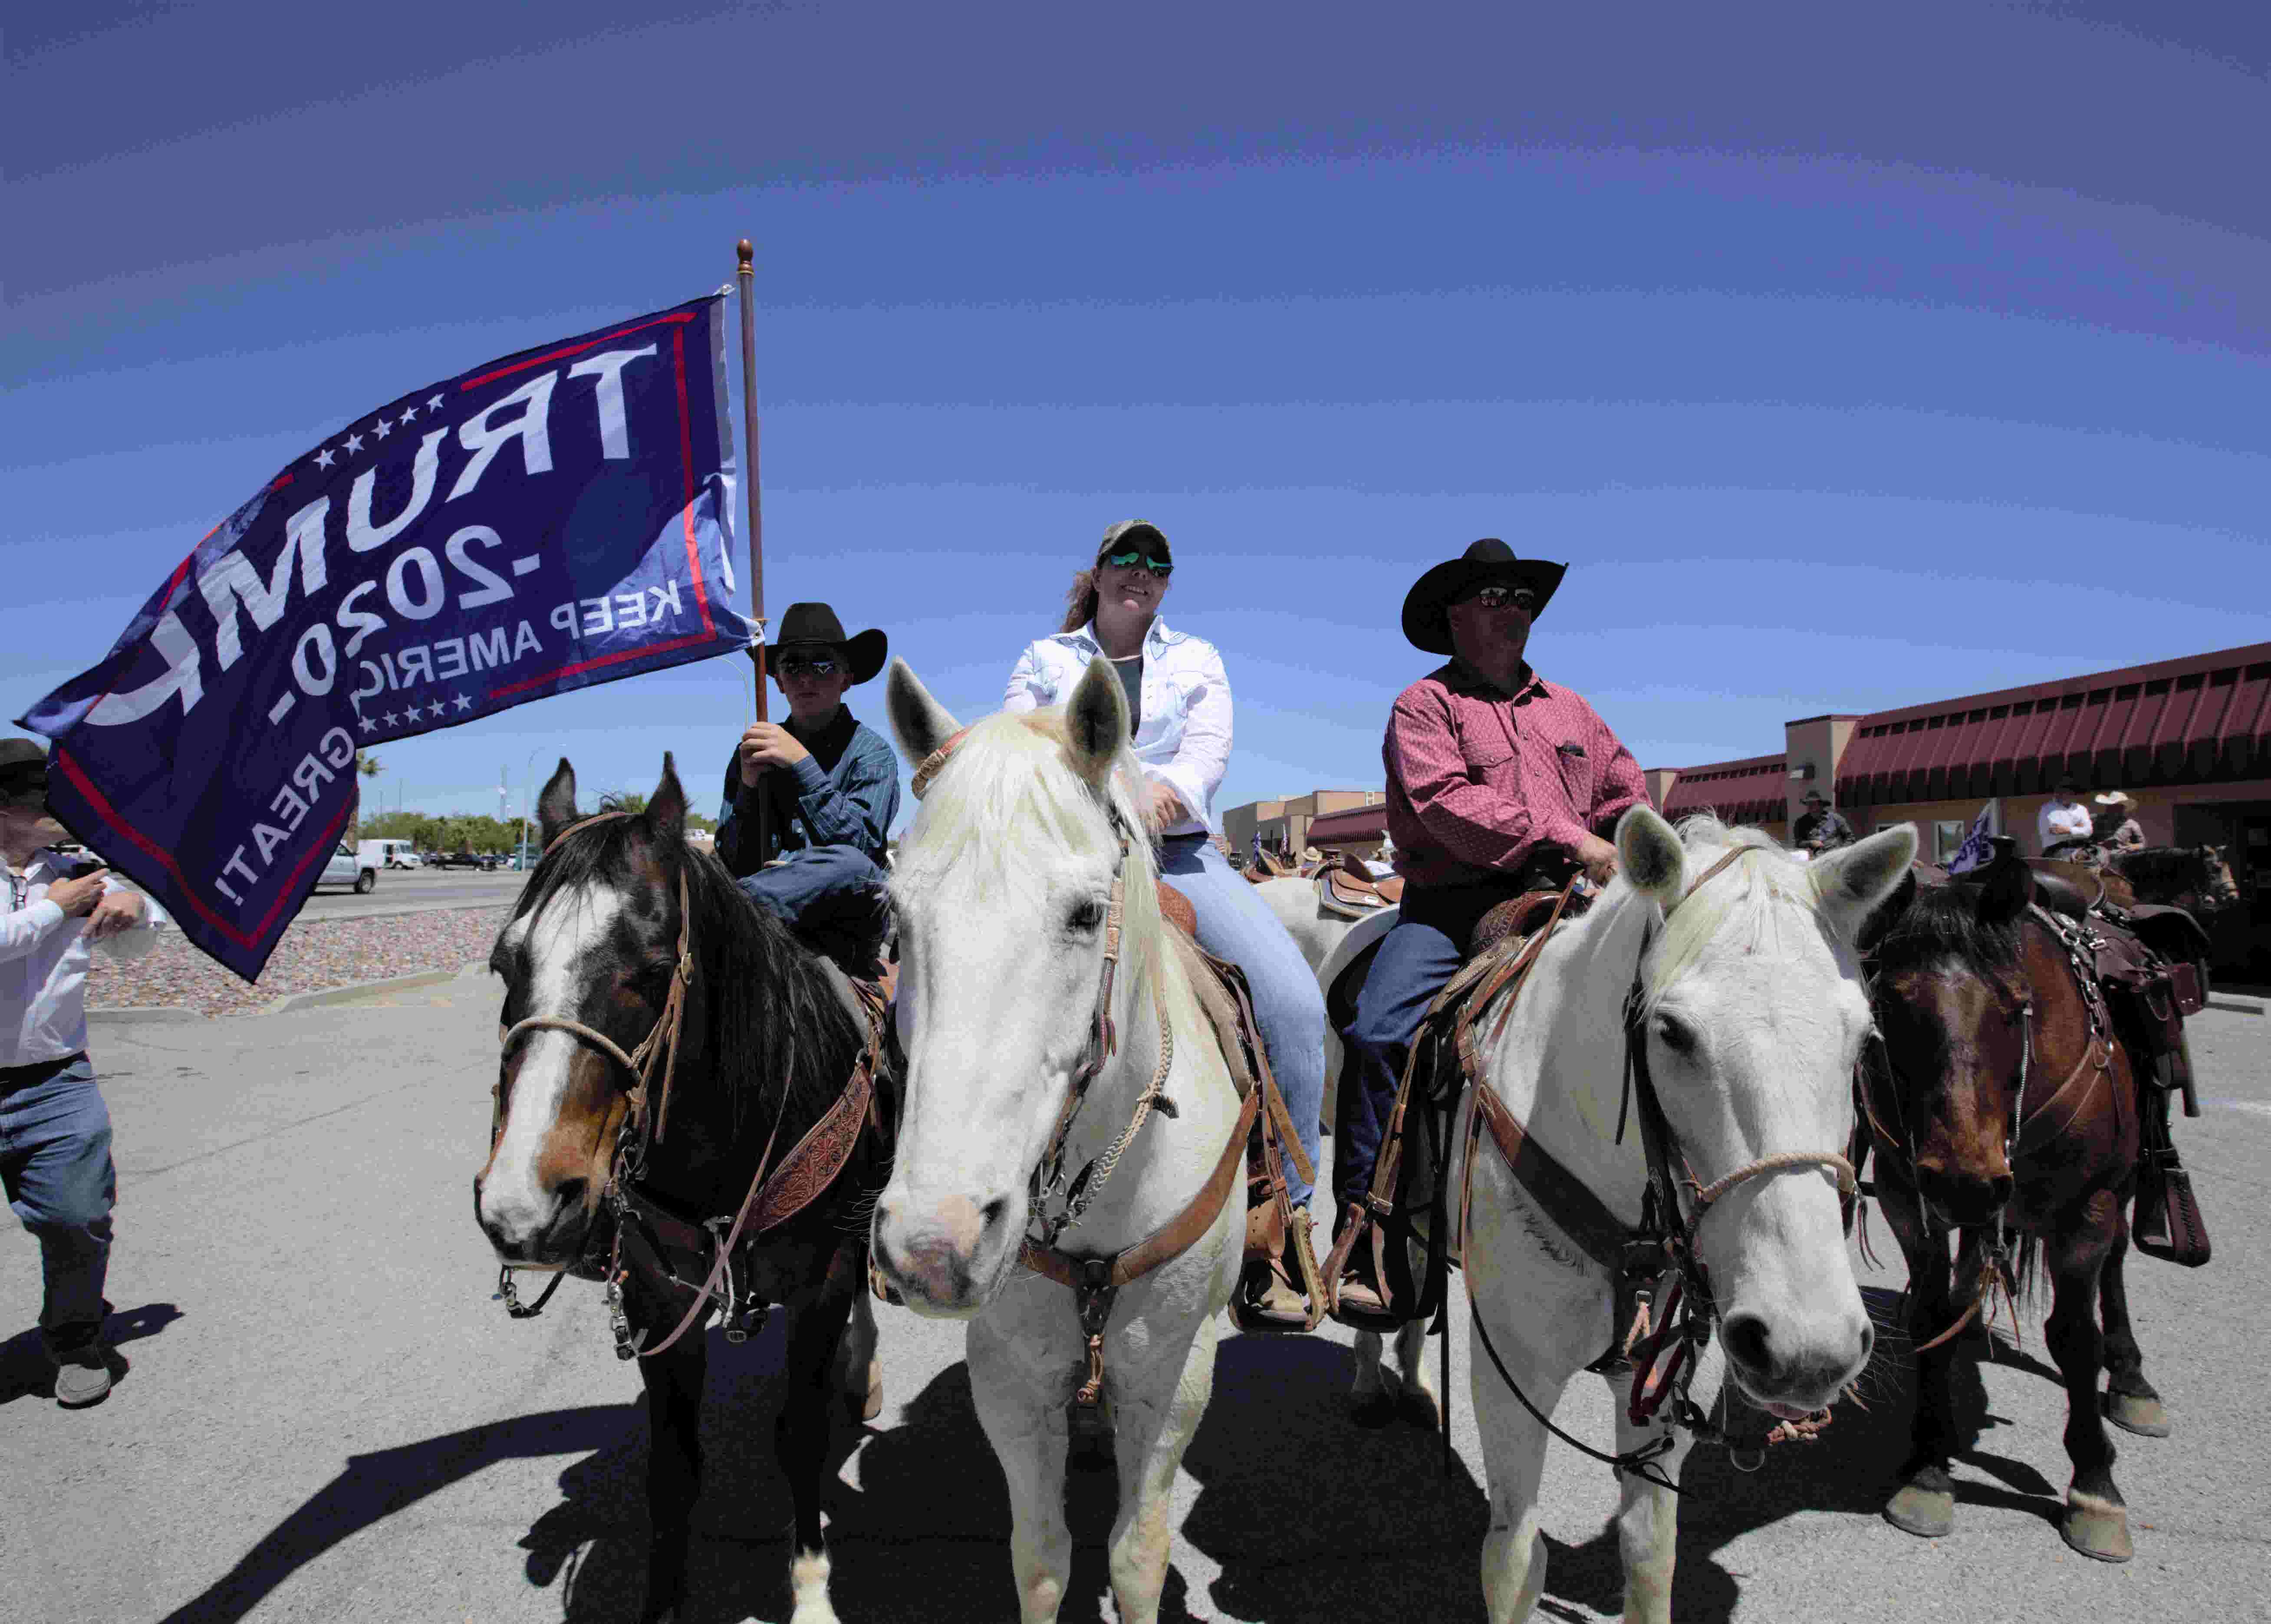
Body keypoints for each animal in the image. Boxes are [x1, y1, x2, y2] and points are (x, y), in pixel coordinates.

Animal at [474, 763, 890, 1624]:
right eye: (505, 965)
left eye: (652, 969)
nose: (522, 1206)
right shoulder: (659, 1299)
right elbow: (674, 1464)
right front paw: (663, 1602)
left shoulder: (822, 1283)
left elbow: (800, 1436)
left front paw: (811, 1594)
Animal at [876, 659, 1254, 1624]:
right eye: (896, 916)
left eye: (1087, 913)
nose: (932, 1246)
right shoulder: (1010, 1378)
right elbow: (1041, 1557)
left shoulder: (1172, 1375)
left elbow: (1137, 1556)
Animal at [1444, 813, 1907, 1624]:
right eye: (1672, 1033)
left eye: (1864, 1040)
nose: (1807, 1348)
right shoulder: (1510, 1374)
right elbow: (1513, 1560)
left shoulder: (1664, 1376)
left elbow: (1647, 1552)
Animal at [1862, 845, 2162, 1571]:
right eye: (1889, 1001)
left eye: (2016, 1004)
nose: (1964, 1180)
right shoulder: (1904, 1196)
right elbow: (1930, 1316)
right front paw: (1928, 1464)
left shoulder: (2087, 1209)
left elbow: (2075, 1337)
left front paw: (2095, 1488)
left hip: (2119, 1187)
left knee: (2115, 1266)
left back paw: (2132, 1379)